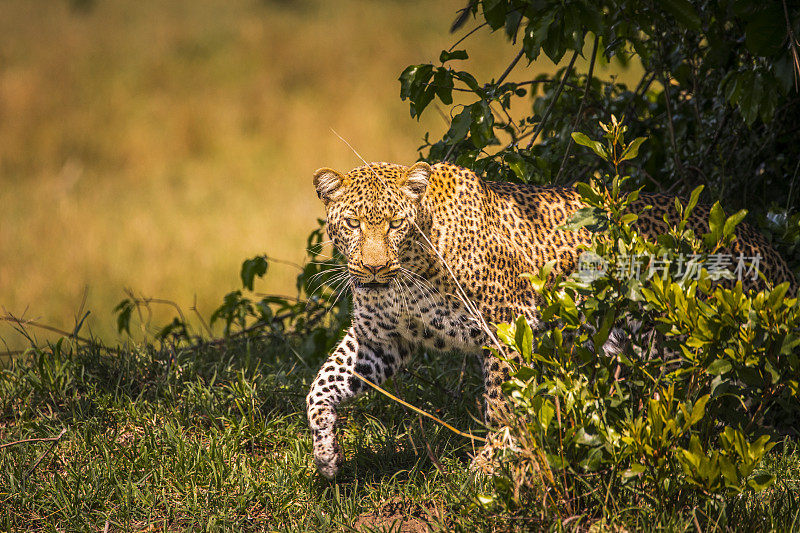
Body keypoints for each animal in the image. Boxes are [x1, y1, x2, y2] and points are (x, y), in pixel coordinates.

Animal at [304, 160, 792, 476]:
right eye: (352, 224)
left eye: (393, 225)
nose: (372, 269)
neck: (410, 271)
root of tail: (768, 253)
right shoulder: (379, 338)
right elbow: (321, 384)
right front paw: (326, 450)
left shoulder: (506, 323)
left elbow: (503, 401)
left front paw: (493, 462)